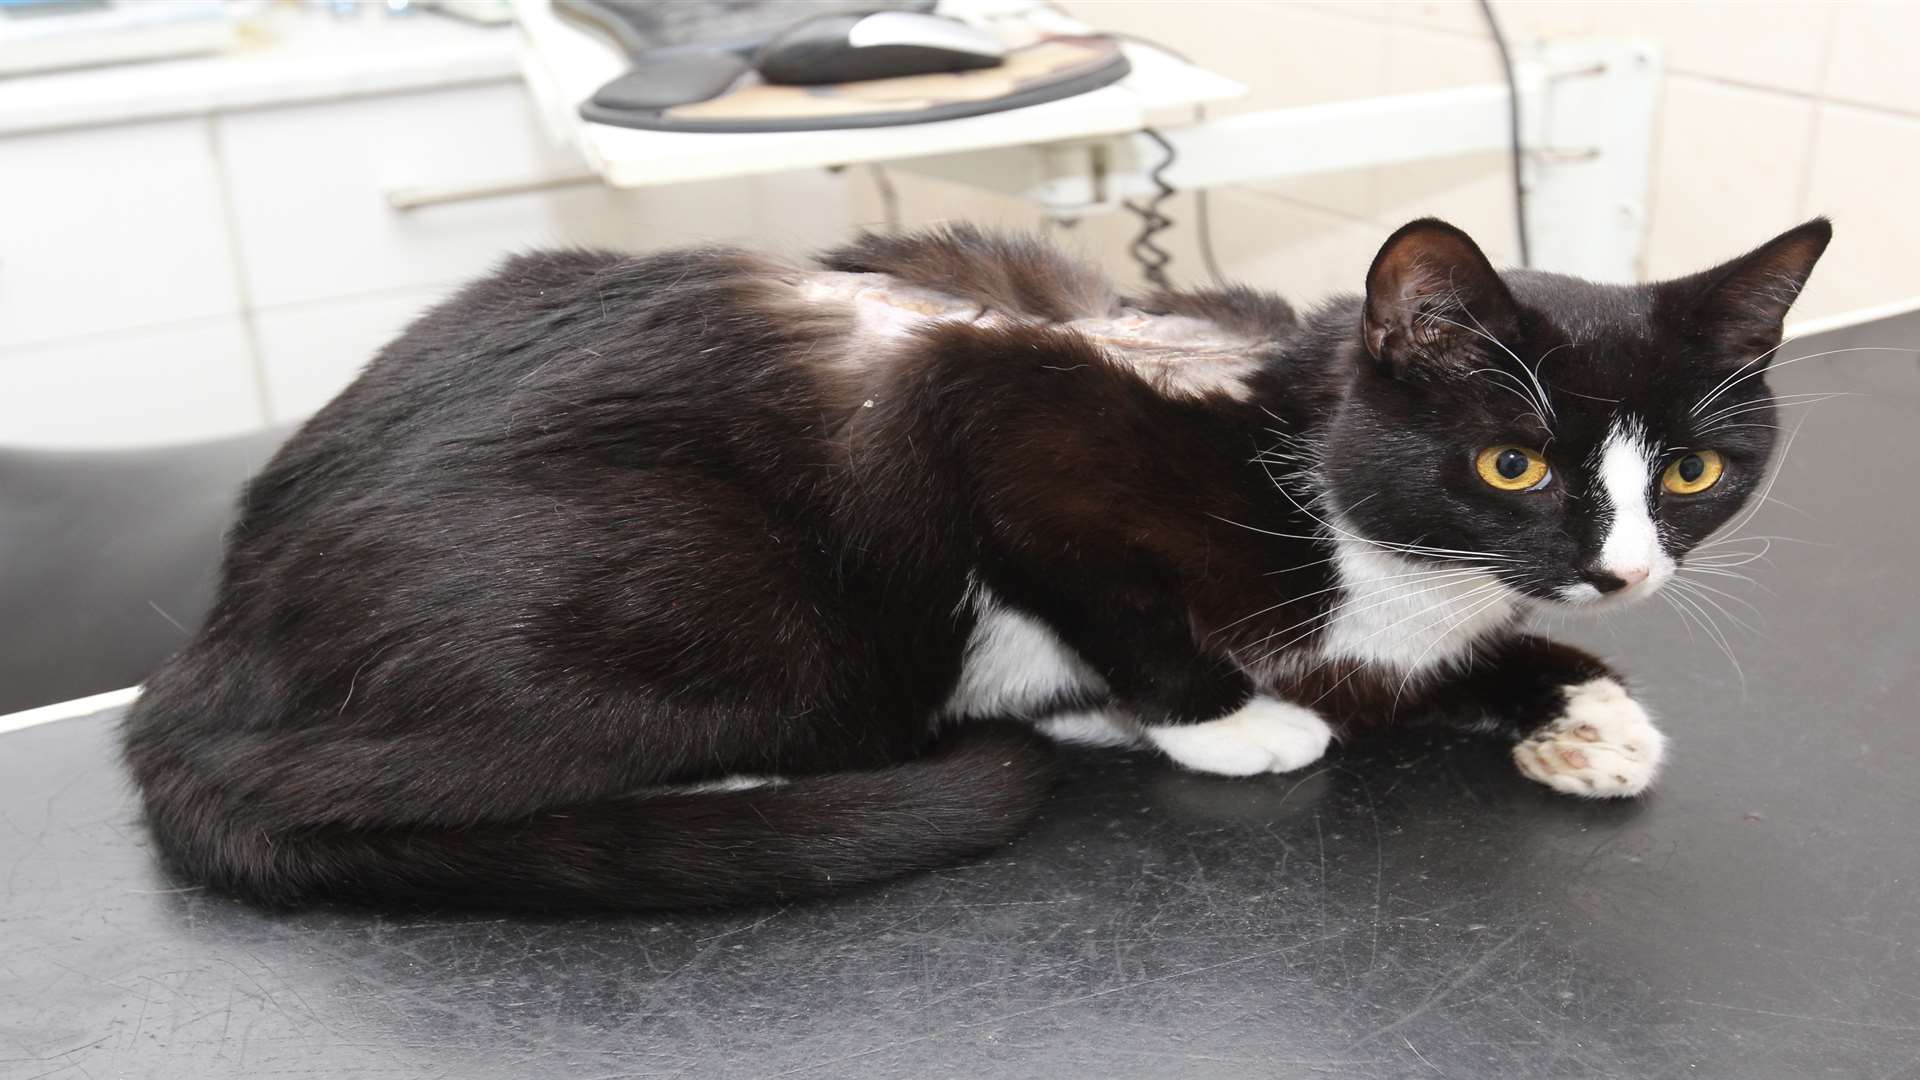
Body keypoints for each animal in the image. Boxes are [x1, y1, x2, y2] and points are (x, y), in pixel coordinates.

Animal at [120, 216, 1827, 907]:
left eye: (1691, 473)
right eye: (1512, 463)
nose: (1624, 577)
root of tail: (193, 675)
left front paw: (1584, 708)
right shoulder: (991, 418)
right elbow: (1105, 593)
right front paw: (1232, 722)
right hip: (719, 600)